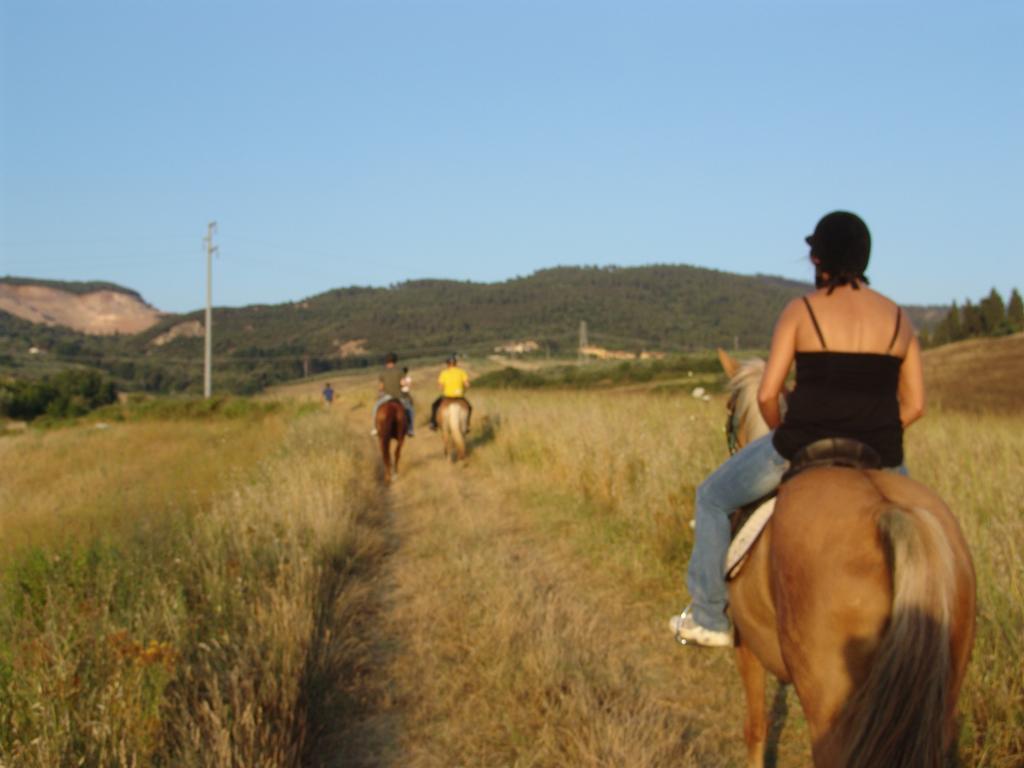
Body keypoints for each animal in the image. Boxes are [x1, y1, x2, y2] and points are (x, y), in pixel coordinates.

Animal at [712, 352, 974, 765]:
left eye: (728, 408)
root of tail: (890, 512)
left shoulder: (746, 645)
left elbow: (755, 729)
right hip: (941, 705)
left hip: (830, 712)